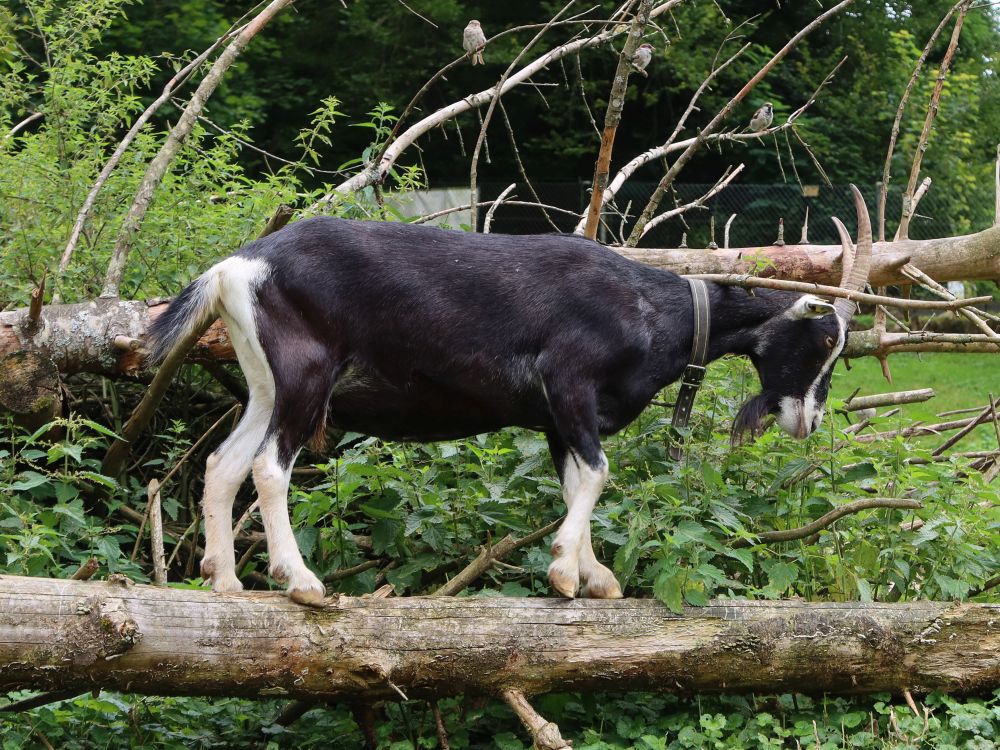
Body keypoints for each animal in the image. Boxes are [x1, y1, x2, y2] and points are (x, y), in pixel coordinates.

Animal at [145, 187, 872, 604]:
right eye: (820, 341)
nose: (808, 421)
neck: (650, 305)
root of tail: (237, 266)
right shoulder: (568, 379)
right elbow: (599, 474)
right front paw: (565, 573)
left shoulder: (557, 417)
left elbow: (577, 481)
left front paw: (593, 576)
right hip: (306, 373)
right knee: (270, 466)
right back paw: (301, 583)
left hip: (266, 381)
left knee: (223, 463)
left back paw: (224, 579)